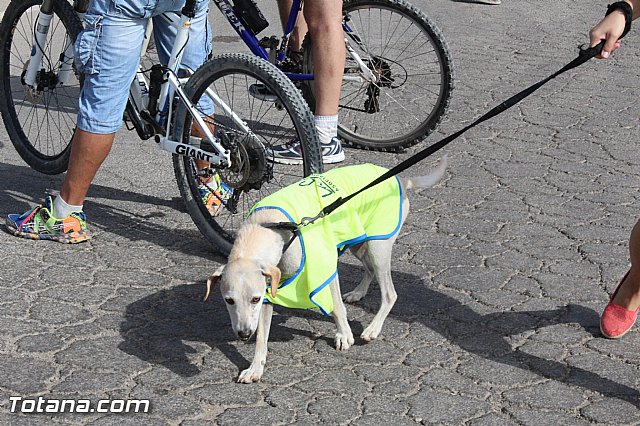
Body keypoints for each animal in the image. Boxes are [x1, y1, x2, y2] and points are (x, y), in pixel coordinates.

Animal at [205, 159, 444, 382]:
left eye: (253, 299)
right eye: (229, 300)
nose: (243, 334)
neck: (267, 226)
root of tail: (400, 180)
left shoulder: (325, 267)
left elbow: (337, 307)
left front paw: (344, 335)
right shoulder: (269, 288)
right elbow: (262, 336)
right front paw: (255, 368)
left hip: (379, 246)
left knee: (389, 293)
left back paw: (372, 329)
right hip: (358, 243)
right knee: (368, 269)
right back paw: (358, 293)